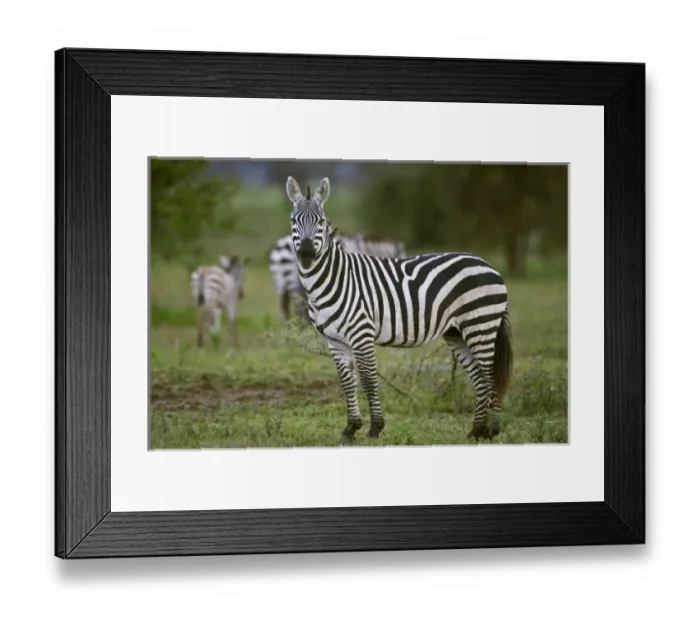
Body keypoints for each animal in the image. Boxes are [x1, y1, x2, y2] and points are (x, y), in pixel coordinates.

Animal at [285, 176, 513, 443]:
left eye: (321, 221)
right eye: (293, 221)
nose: (307, 254)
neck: (333, 279)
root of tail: (488, 264)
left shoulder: (361, 334)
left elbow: (368, 380)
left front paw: (375, 428)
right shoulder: (335, 340)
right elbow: (347, 383)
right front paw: (350, 429)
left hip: (481, 325)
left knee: (490, 376)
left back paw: (492, 430)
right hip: (457, 332)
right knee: (478, 377)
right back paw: (477, 430)